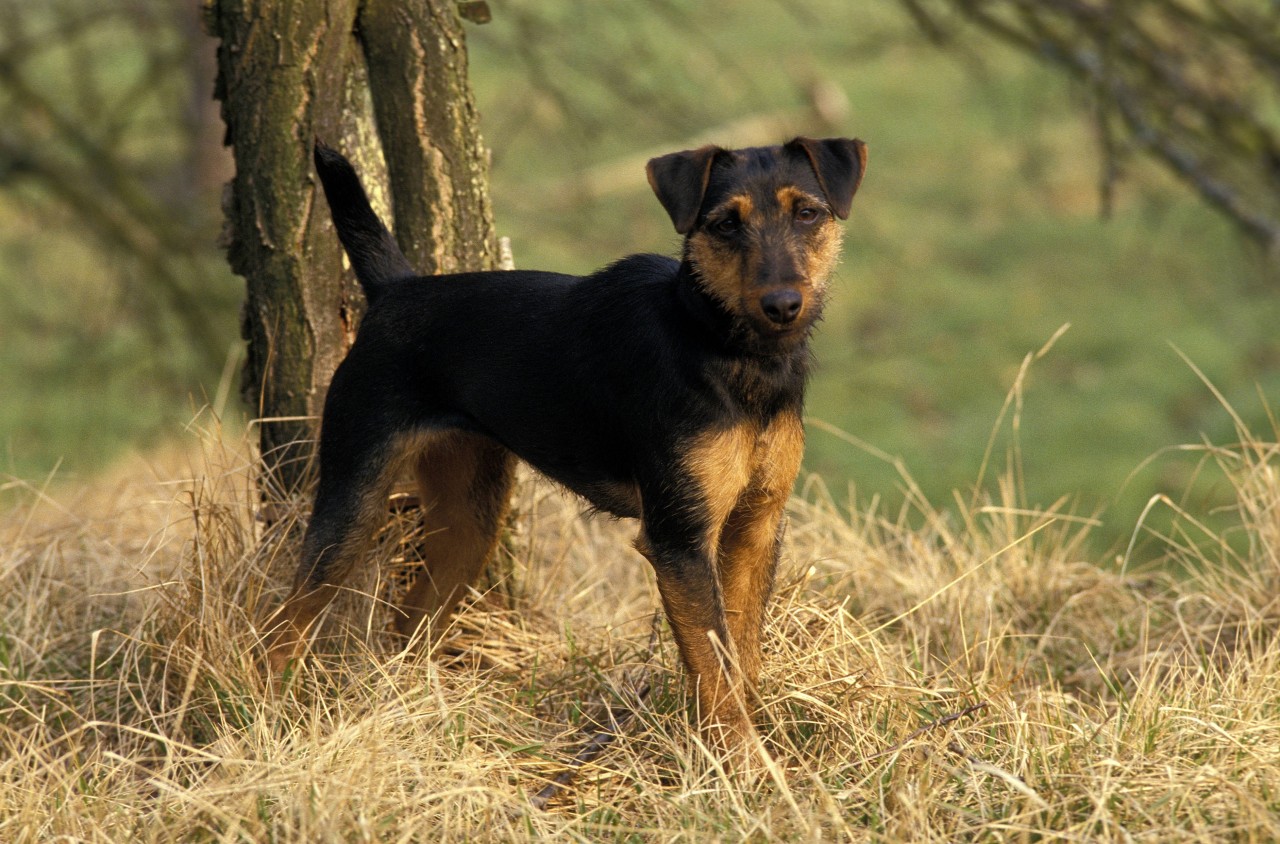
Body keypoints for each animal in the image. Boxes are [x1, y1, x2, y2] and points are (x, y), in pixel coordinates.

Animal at [267, 137, 870, 753]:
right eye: (726, 224)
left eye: (807, 213)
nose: (783, 304)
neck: (724, 347)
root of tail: (395, 290)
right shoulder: (679, 540)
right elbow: (715, 668)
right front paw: (742, 761)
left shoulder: (756, 524)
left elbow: (742, 656)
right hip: (353, 496)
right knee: (282, 626)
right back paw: (265, 711)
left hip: (470, 516)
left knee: (411, 622)